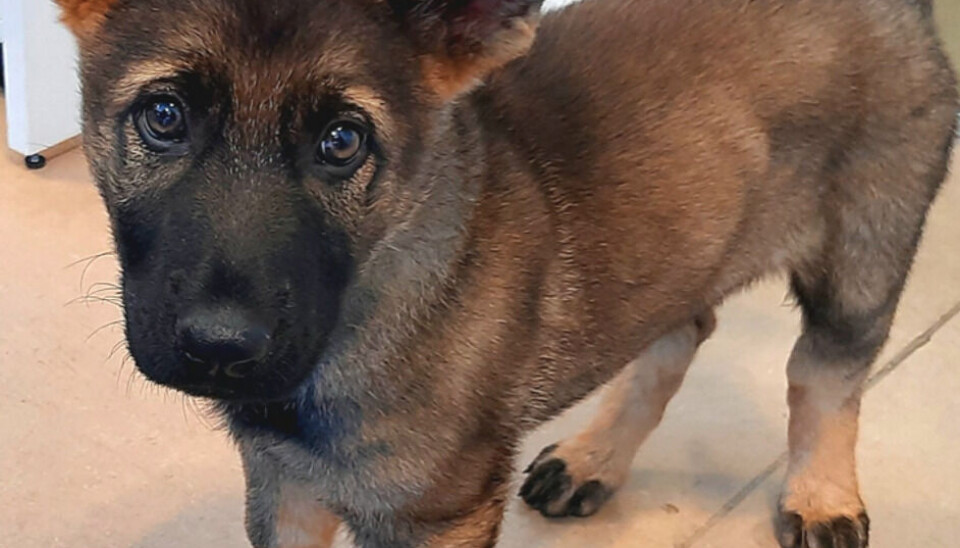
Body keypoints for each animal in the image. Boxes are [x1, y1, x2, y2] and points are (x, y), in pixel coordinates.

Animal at [58, 0, 952, 544]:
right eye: (163, 116)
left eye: (342, 142)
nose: (220, 348)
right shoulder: (284, 486)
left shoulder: (438, 512)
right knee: (685, 326)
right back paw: (595, 458)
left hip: (864, 250)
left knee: (825, 378)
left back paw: (821, 494)